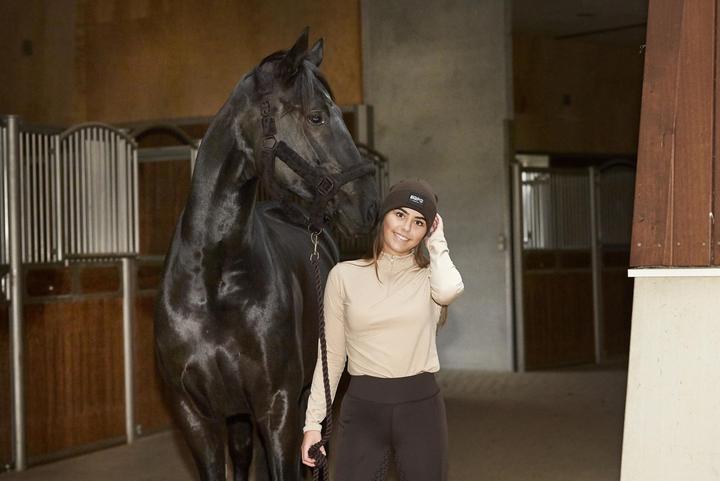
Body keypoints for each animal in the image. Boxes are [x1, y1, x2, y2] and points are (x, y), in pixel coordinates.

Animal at [154, 29, 378, 481]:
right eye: (316, 117)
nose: (368, 206)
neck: (213, 279)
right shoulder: (196, 416)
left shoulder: (278, 408)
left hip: (318, 395)